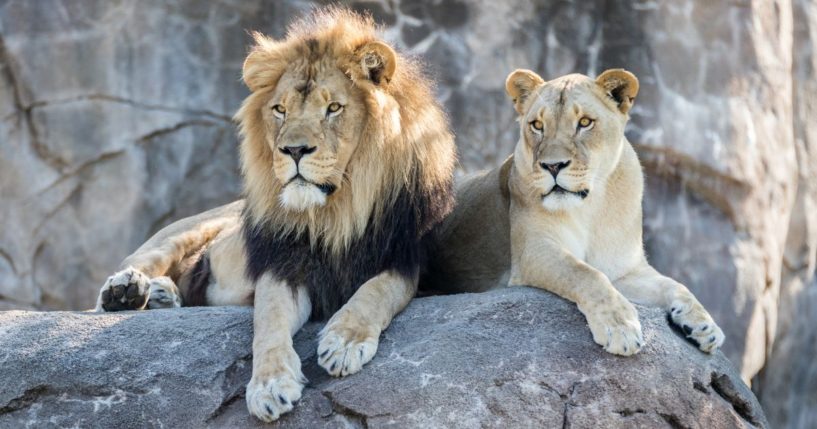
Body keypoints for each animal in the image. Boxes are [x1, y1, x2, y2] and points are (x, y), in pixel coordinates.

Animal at [97, 10, 452, 422]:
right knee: (137, 266)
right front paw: (269, 386)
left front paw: (344, 342)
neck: (335, 212)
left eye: (333, 108)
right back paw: (127, 291)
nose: (293, 150)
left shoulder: (405, 259)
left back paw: (161, 295)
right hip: (181, 232)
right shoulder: (283, 264)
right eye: (280, 110)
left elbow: (376, 291)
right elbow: (269, 322)